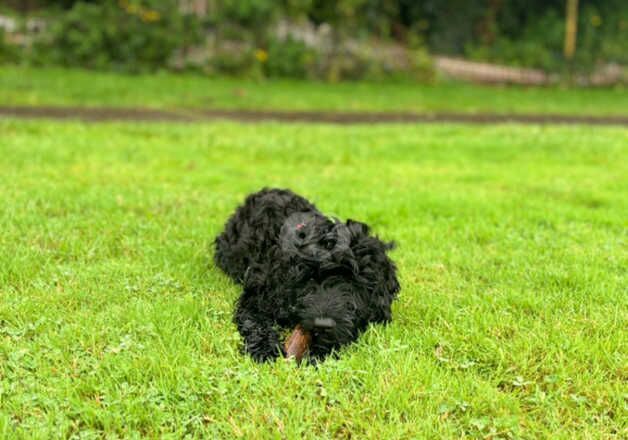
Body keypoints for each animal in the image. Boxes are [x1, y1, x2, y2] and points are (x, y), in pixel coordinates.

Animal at [216, 187, 400, 362]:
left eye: (353, 282)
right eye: (310, 278)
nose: (323, 325)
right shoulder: (258, 296)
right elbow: (254, 320)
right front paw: (265, 349)